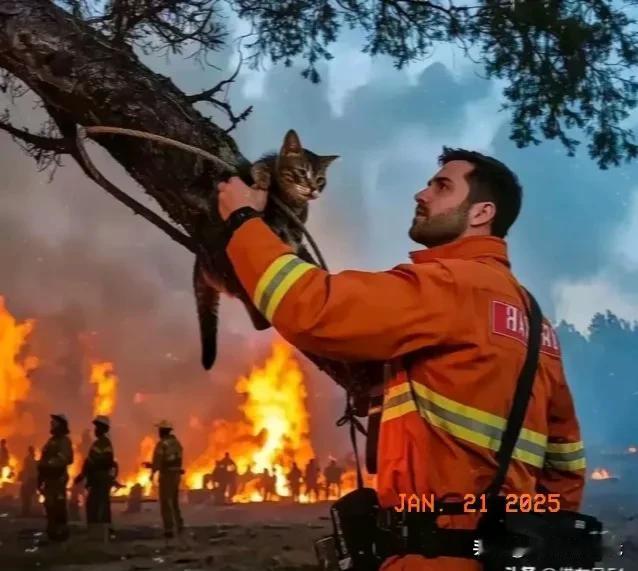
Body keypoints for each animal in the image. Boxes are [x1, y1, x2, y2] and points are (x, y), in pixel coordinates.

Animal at [194, 130, 340, 370]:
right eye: (302, 172)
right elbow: (260, 168)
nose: (313, 190)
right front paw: (263, 179)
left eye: (321, 180)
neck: (290, 201)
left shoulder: (296, 228)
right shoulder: (261, 167)